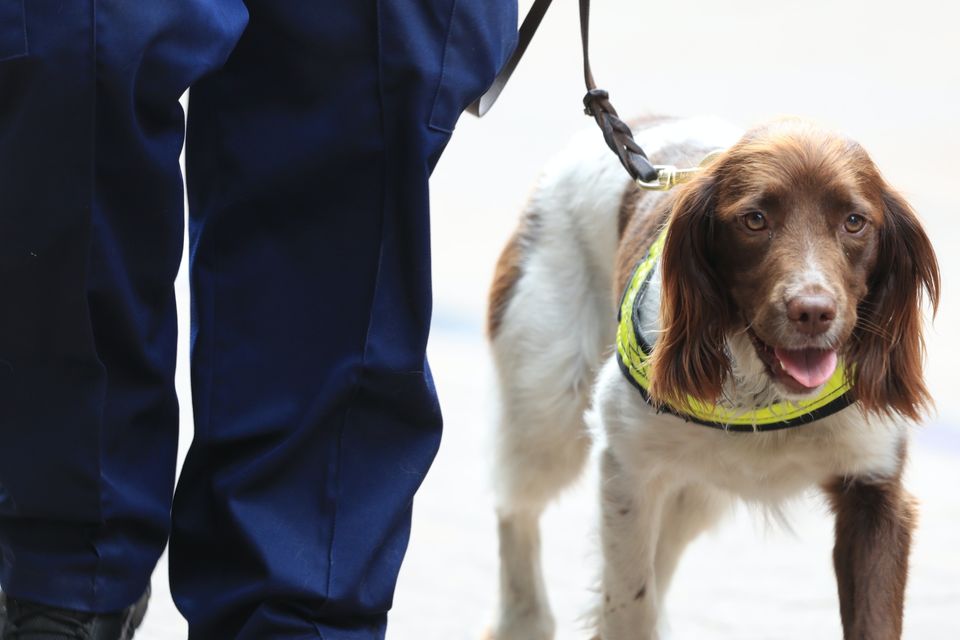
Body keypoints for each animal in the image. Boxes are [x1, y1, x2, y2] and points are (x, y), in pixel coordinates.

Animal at [488, 116, 936, 640]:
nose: (813, 312)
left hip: (694, 491)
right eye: (755, 220)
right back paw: (522, 620)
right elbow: (629, 603)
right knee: (515, 508)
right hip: (547, 409)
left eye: (854, 221)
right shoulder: (628, 468)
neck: (762, 394)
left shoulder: (874, 489)